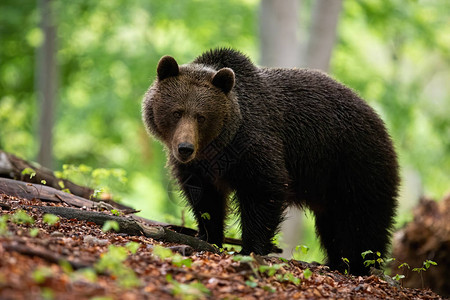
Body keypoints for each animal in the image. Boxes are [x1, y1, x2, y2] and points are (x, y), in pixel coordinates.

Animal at [142, 48, 400, 276]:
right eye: (177, 112)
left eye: (201, 116)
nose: (185, 148)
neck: (217, 146)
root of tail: (380, 121)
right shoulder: (198, 167)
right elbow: (206, 200)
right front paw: (208, 236)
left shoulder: (254, 145)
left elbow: (263, 190)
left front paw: (250, 248)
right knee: (333, 225)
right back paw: (336, 262)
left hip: (354, 162)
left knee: (364, 220)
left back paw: (361, 265)